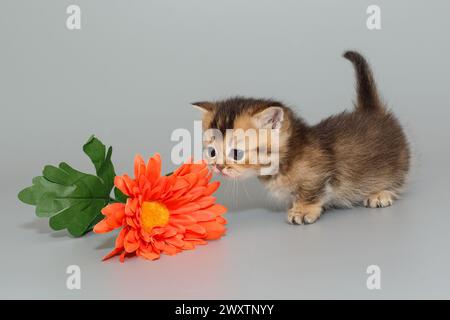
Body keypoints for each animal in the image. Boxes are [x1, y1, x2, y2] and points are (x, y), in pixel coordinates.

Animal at [192, 50, 410, 225]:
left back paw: (381, 193)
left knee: (398, 180)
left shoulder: (317, 174)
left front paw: (303, 210)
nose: (218, 167)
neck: (286, 158)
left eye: (236, 153)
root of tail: (372, 110)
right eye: (212, 152)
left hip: (396, 163)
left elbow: (311, 191)